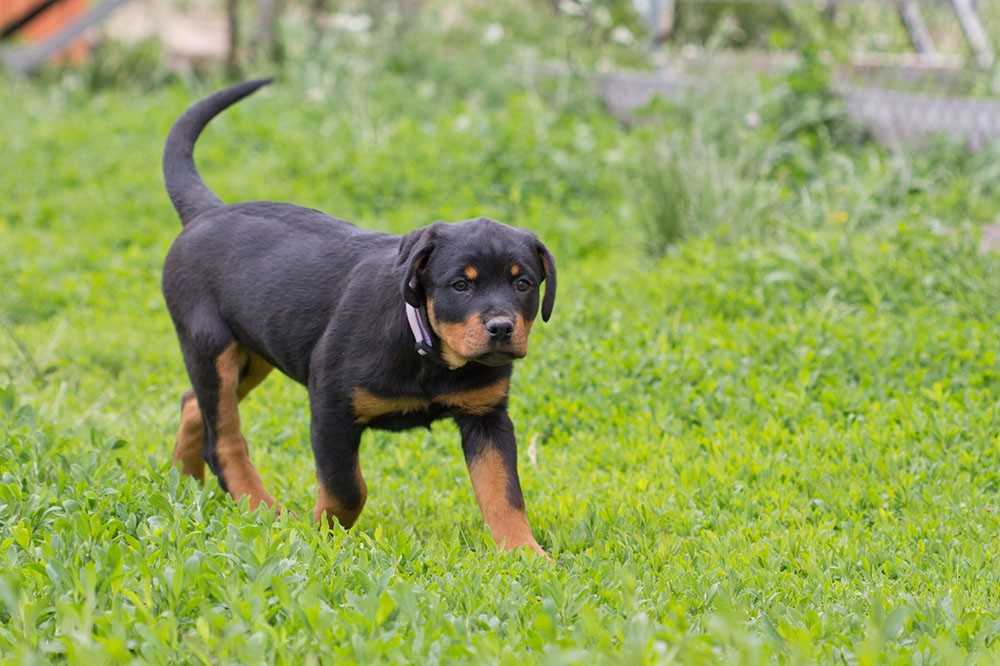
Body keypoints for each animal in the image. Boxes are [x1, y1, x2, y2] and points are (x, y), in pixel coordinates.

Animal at [162, 79, 556, 556]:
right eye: (461, 285)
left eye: (523, 284)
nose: (501, 328)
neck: (428, 351)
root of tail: (207, 212)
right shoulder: (331, 407)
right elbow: (347, 488)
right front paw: (321, 535)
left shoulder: (487, 415)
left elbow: (503, 492)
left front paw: (526, 554)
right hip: (210, 345)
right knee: (223, 440)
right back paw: (264, 510)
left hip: (251, 355)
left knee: (192, 405)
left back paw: (185, 484)